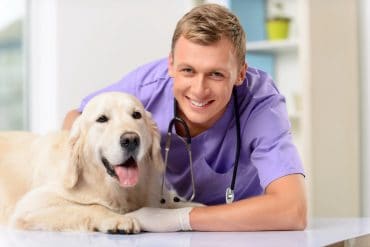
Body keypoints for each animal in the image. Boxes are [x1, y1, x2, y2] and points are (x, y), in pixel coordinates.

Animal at [0, 92, 192, 233]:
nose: (131, 139)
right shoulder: (32, 205)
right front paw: (117, 219)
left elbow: (183, 204)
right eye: (102, 119)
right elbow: (92, 206)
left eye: (136, 115)